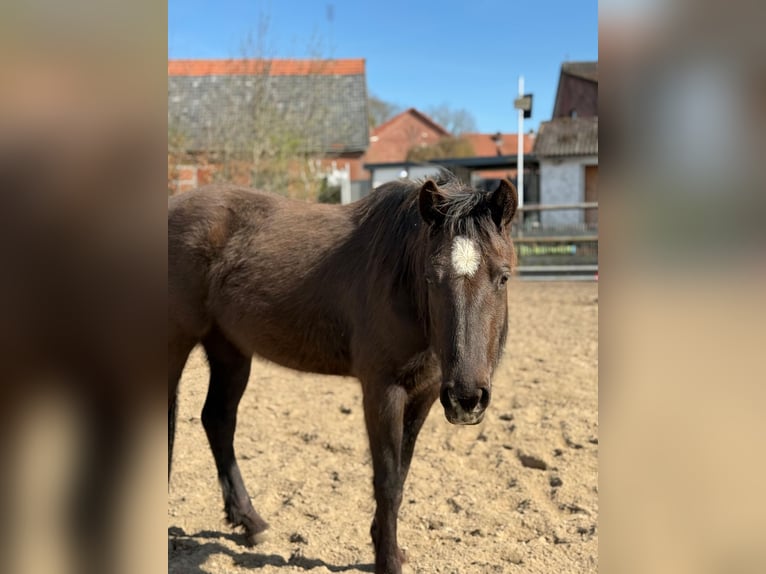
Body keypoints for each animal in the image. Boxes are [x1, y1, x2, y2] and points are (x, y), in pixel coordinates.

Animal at [168, 174, 518, 574]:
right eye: (432, 277)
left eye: (503, 277)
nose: (467, 398)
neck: (400, 282)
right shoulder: (382, 390)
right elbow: (386, 480)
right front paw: (387, 561)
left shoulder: (426, 393)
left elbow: (401, 474)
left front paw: (388, 547)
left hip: (229, 348)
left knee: (218, 420)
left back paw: (249, 521)